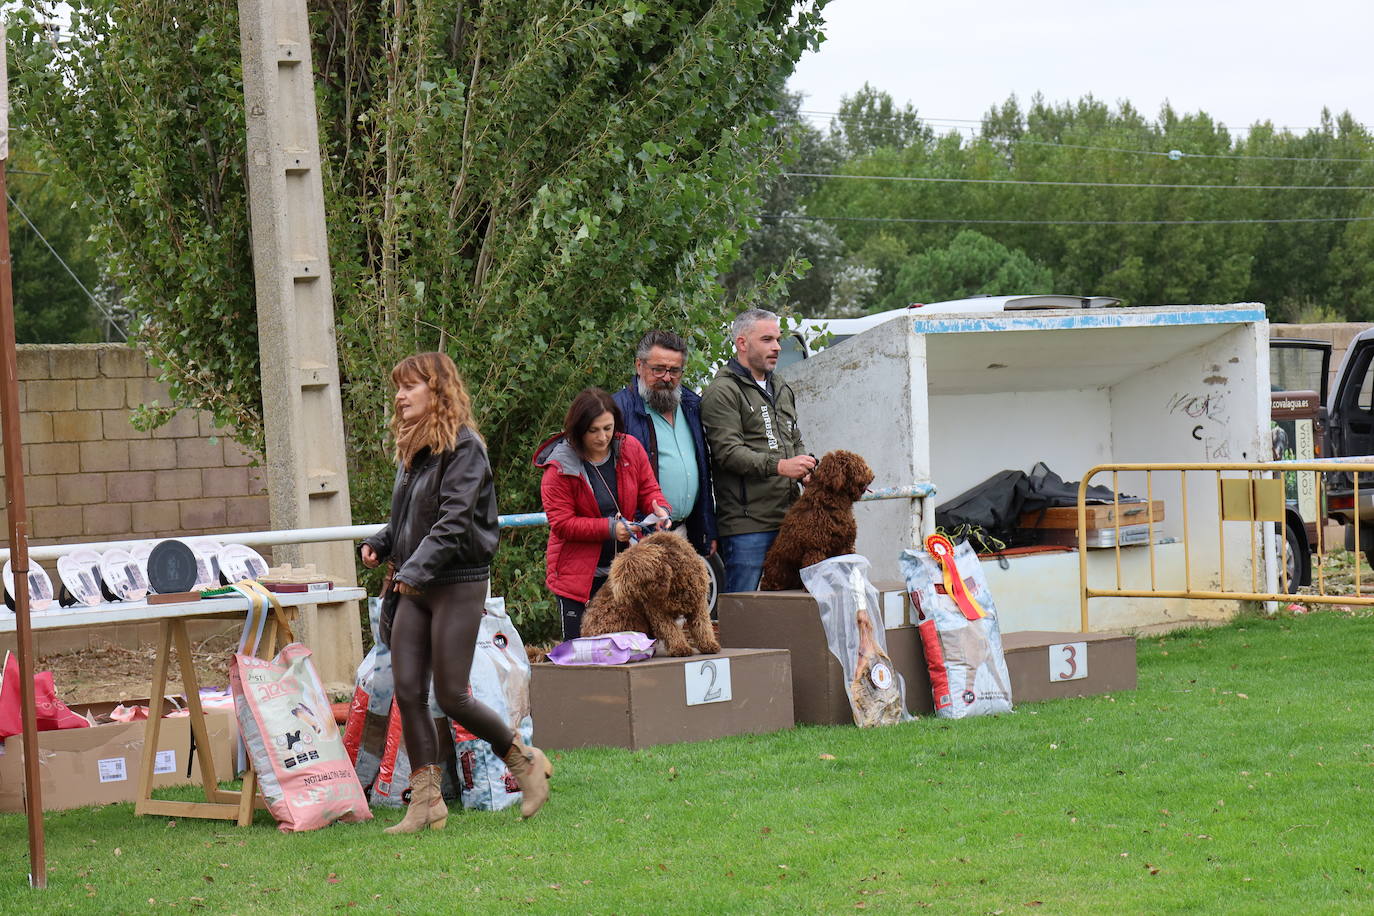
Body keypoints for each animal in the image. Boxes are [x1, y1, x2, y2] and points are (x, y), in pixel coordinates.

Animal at [579, 530, 719, 659]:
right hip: (626, 618)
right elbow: (671, 630)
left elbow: (703, 626)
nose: (619, 597)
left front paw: (709, 644)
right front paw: (680, 648)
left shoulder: (698, 603)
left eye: (629, 580)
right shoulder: (658, 612)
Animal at [758, 450, 873, 590]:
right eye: (858, 466)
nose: (873, 476)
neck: (830, 503)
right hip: (779, 567)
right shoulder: (815, 548)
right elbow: (815, 568)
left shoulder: (844, 545)